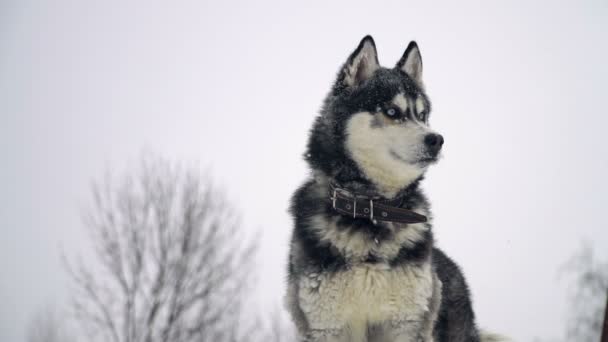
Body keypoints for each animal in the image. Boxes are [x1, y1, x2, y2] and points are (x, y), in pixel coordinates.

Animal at [284, 35, 504, 342]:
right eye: (392, 112)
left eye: (422, 115)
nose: (436, 139)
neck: (371, 209)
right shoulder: (327, 325)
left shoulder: (406, 323)